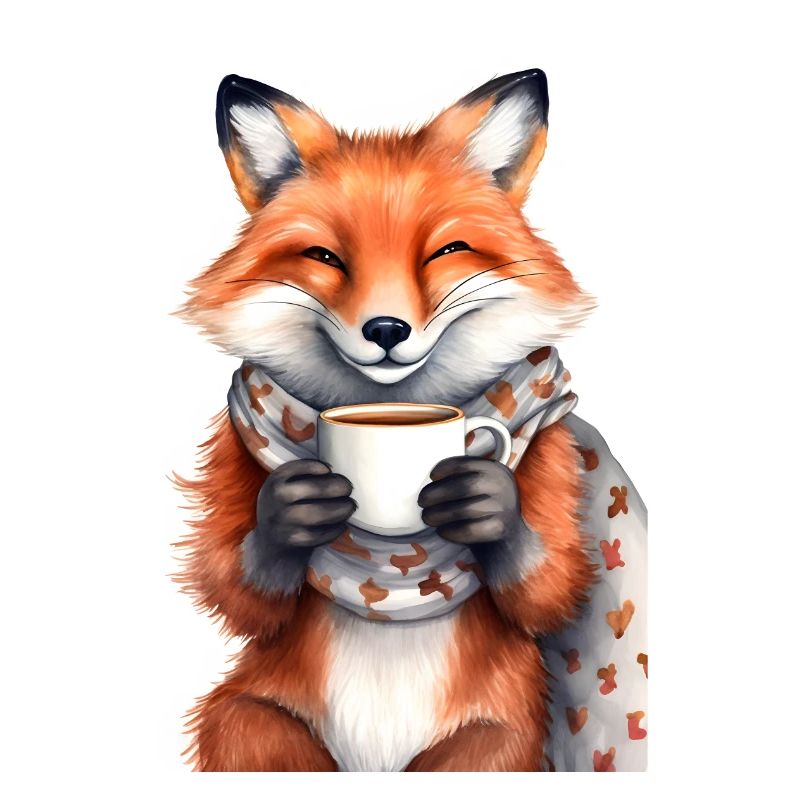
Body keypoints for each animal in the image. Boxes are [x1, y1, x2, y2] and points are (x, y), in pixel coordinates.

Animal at [176, 69, 647, 772]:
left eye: (446, 251)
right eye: (325, 257)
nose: (386, 329)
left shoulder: (552, 451)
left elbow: (552, 584)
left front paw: (486, 501)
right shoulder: (235, 453)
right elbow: (235, 588)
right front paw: (291, 511)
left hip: (491, 745)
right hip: (249, 724)